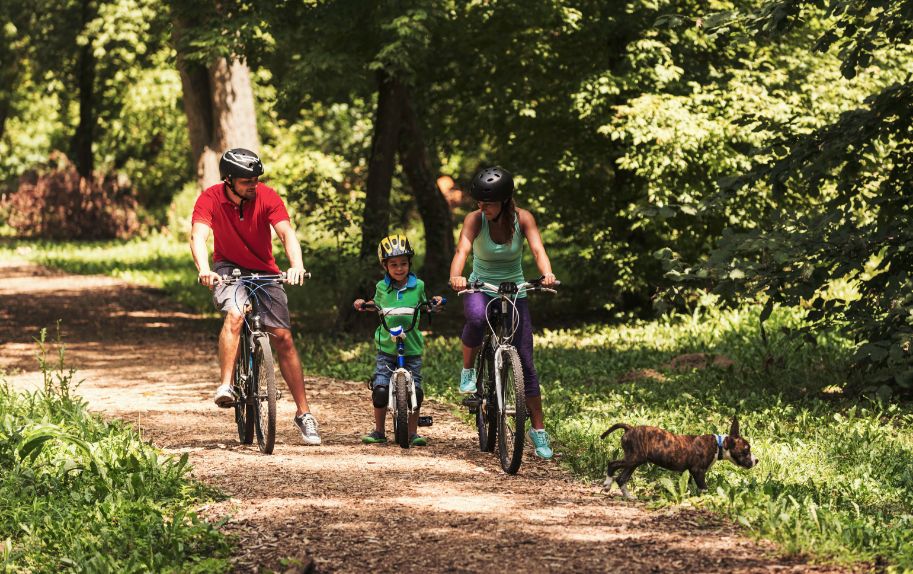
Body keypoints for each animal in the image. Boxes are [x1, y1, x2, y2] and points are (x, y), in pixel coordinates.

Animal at [600, 418, 756, 500]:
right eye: (746, 451)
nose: (757, 460)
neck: (719, 445)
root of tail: (629, 428)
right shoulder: (698, 471)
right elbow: (704, 488)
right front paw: (707, 499)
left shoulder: (692, 473)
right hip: (634, 459)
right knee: (612, 464)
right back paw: (607, 483)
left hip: (634, 461)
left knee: (621, 478)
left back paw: (629, 496)